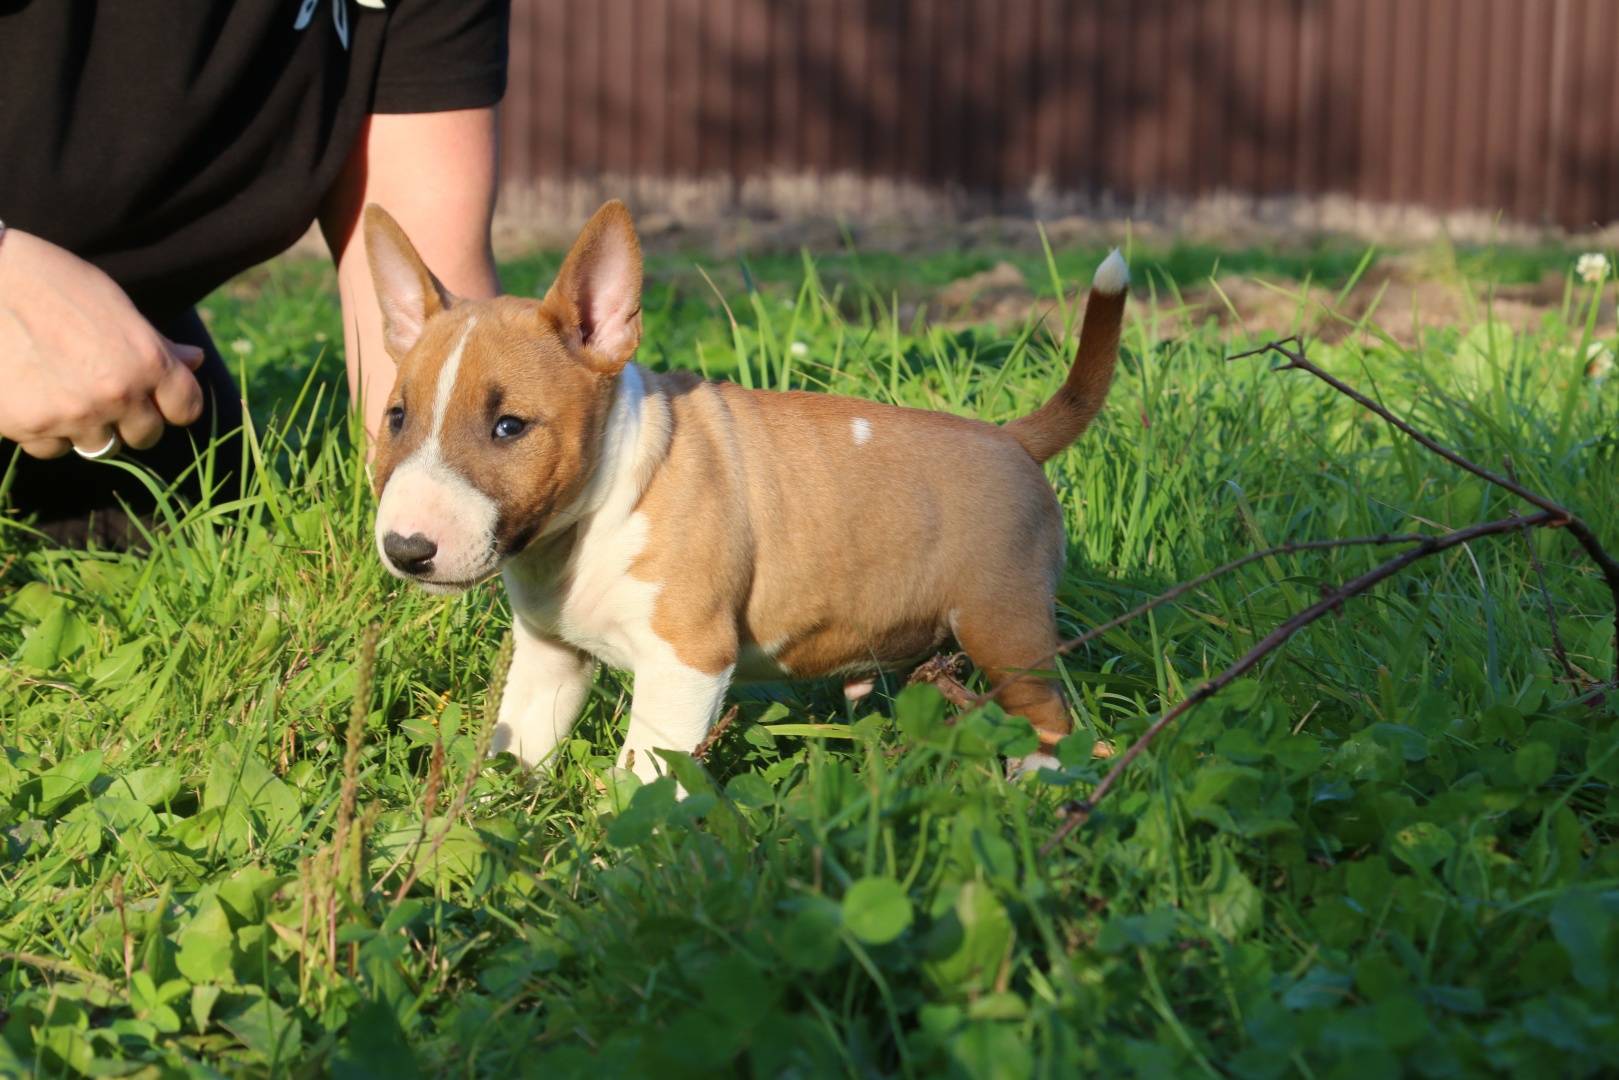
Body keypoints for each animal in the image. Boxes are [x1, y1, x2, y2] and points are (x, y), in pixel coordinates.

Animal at [365, 200, 1126, 777]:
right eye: (397, 417)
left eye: (510, 426)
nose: (406, 550)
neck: (600, 511)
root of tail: (1012, 439)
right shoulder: (551, 662)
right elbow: (514, 752)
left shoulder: (687, 660)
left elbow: (643, 780)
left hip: (1005, 626)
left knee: (1050, 719)